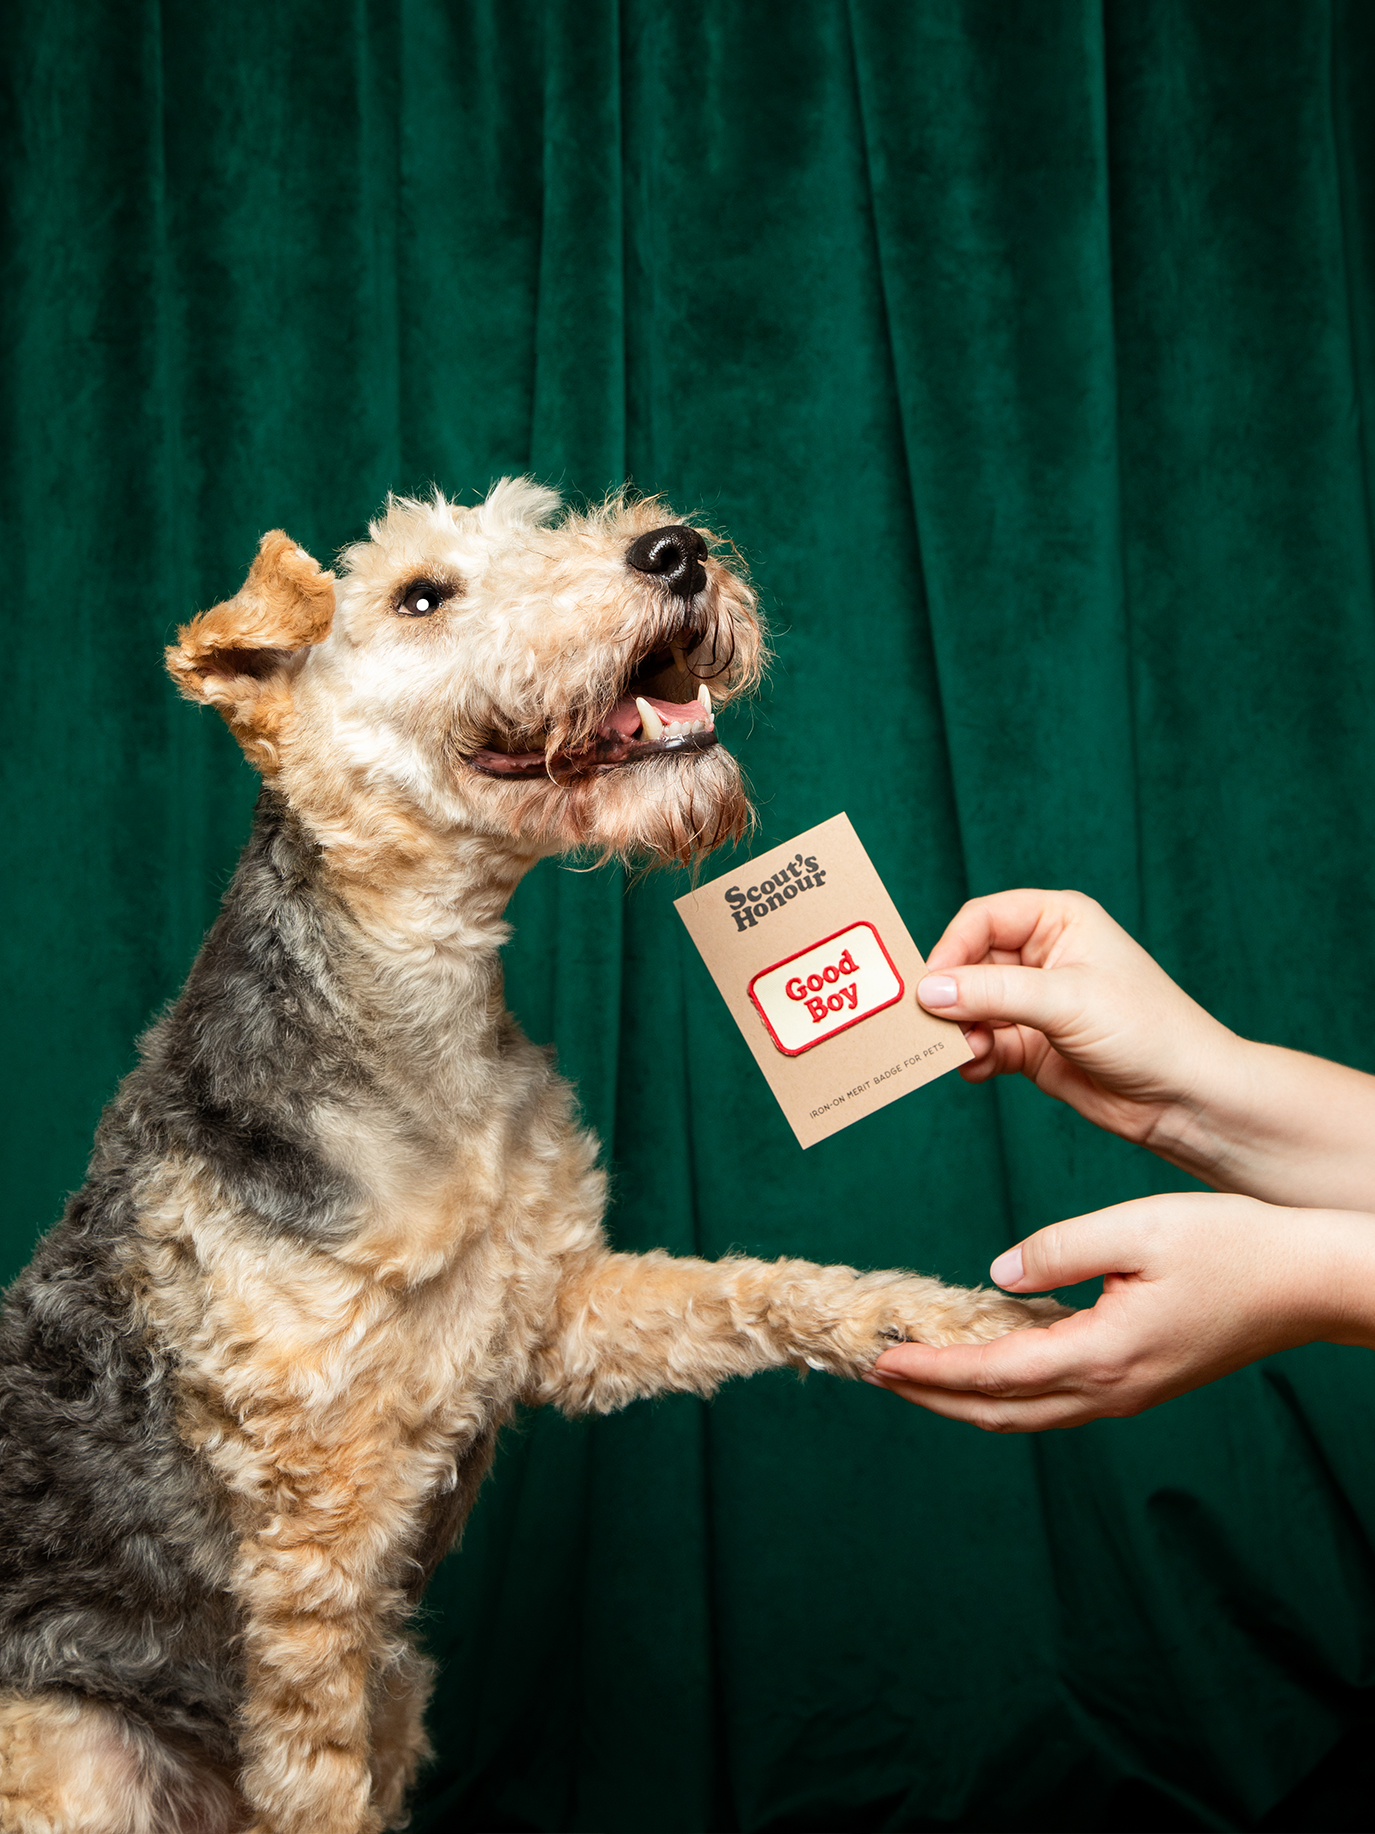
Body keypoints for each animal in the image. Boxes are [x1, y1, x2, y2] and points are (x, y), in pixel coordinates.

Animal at [0, 480, 1063, 1826]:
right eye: (419, 595)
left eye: (535, 521)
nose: (675, 551)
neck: (425, 1031)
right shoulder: (311, 1555)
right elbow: (315, 1777)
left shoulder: (551, 1307)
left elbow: (755, 1289)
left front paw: (951, 1319)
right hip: (78, 1743)